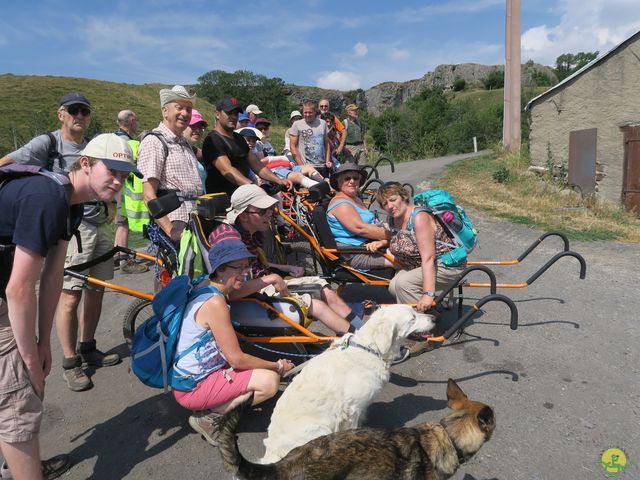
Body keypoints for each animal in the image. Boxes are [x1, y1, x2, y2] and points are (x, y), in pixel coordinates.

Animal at [260, 306, 436, 464]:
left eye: (416, 311)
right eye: (412, 318)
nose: (434, 318)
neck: (371, 349)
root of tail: (271, 451)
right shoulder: (352, 409)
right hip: (319, 428)